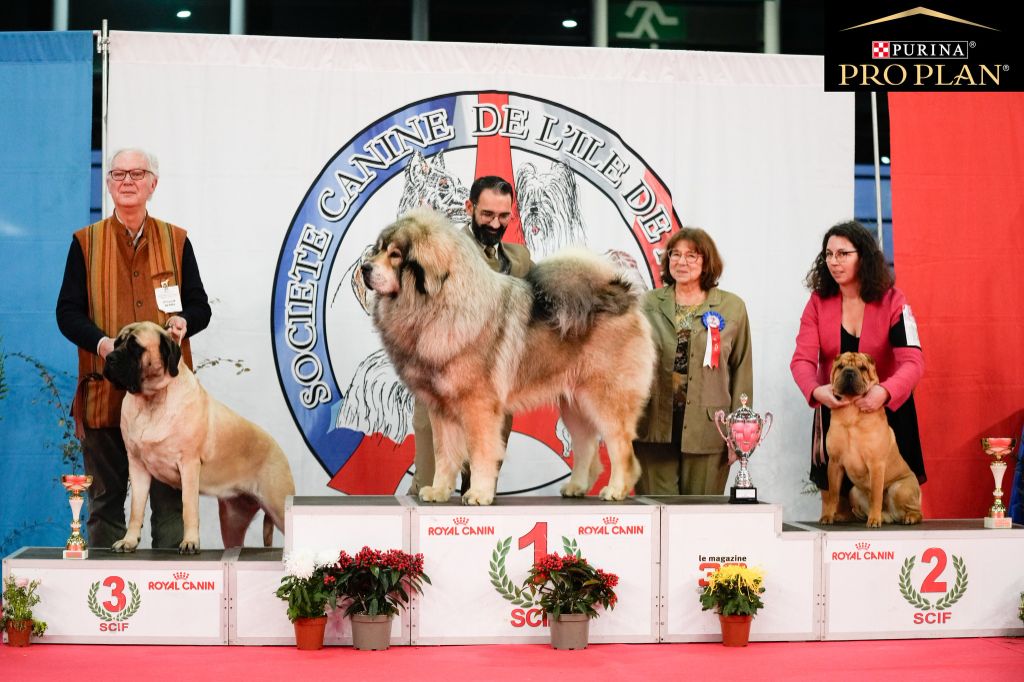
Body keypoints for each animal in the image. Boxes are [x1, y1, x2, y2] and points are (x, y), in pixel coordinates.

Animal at [101, 319, 294, 552]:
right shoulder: (137, 466)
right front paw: (129, 540)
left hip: (279, 506)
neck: (152, 399)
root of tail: (278, 449)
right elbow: (136, 509)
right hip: (232, 520)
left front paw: (190, 542)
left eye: (135, 347)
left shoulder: (189, 465)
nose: (109, 358)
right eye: (116, 344)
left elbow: (189, 507)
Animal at [819, 350, 925, 524]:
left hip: (900, 488)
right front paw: (828, 515)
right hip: (854, 492)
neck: (851, 409)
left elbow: (876, 495)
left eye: (862, 368)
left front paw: (874, 520)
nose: (849, 372)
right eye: (841, 366)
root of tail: (892, 515)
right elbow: (833, 494)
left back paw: (907, 517)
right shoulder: (834, 462)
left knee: (916, 510)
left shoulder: (876, 464)